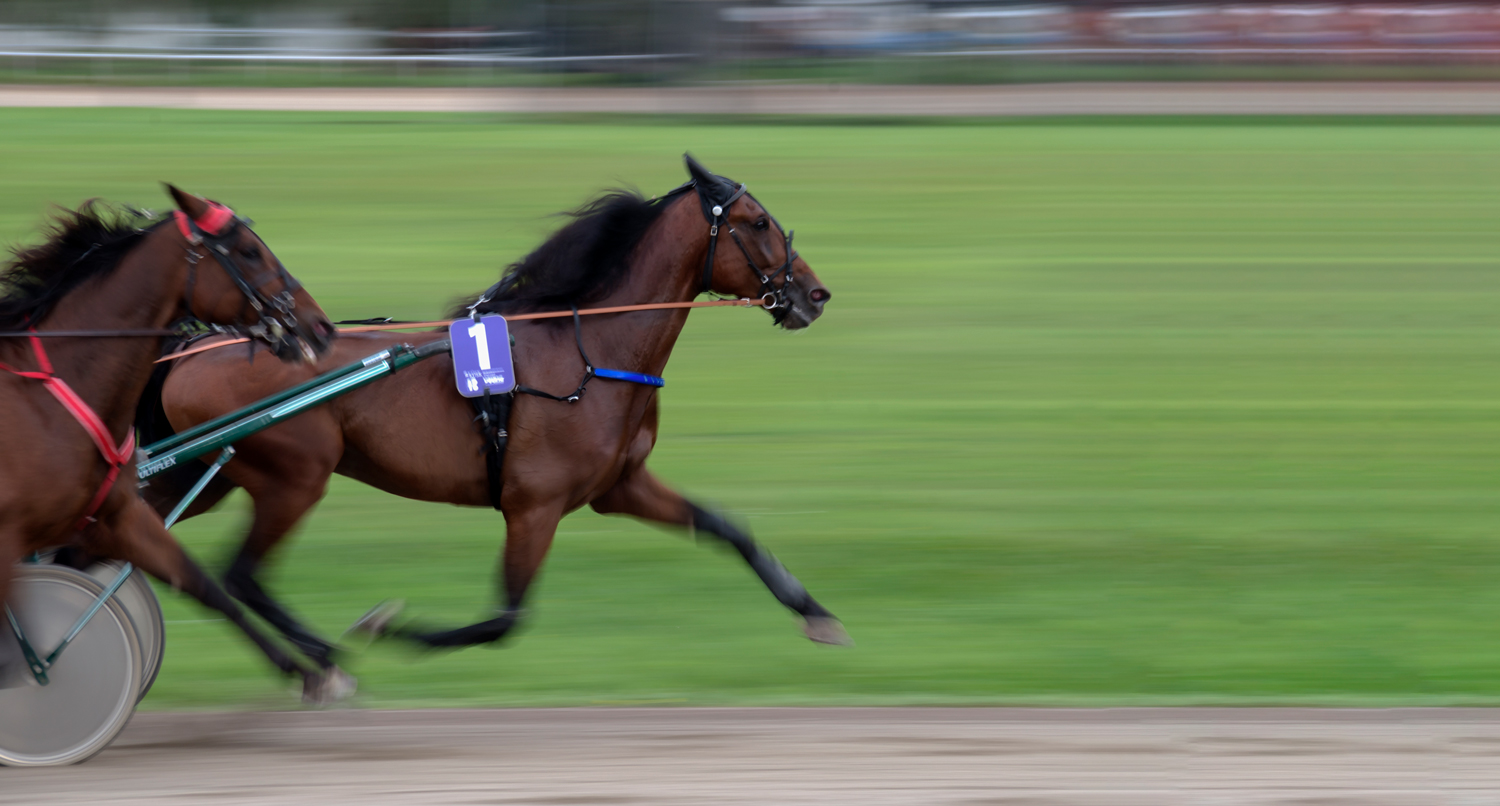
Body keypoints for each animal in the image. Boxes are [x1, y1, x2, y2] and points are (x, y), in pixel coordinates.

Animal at [0, 185, 349, 699]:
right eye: (249, 251)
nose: (320, 326)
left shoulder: (118, 514)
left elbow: (203, 584)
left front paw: (312, 672)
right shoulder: (13, 535)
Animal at [144, 153, 852, 663]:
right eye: (758, 222)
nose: (815, 294)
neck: (589, 351)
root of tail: (201, 343)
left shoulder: (620, 486)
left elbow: (730, 529)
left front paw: (817, 614)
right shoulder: (534, 506)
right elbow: (505, 617)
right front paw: (390, 627)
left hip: (209, 474)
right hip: (292, 477)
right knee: (238, 574)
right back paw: (320, 659)